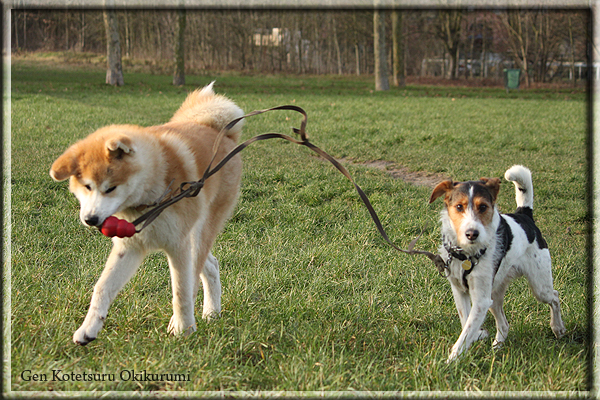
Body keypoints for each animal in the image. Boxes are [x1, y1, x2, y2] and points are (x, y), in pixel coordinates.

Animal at [51, 83, 244, 346]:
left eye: (110, 188)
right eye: (87, 187)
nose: (91, 220)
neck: (148, 198)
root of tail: (221, 132)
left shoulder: (177, 245)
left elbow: (181, 291)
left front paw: (183, 330)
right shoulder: (130, 247)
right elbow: (102, 288)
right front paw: (88, 328)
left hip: (200, 231)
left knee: (196, 275)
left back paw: (191, 319)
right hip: (192, 237)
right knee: (211, 265)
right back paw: (212, 313)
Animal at [428, 166, 564, 362]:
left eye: (483, 207)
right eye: (459, 206)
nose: (472, 233)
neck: (466, 254)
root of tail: (524, 215)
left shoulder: (481, 300)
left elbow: (465, 335)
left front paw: (450, 362)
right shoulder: (460, 291)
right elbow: (466, 322)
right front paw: (477, 336)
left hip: (539, 286)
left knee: (554, 297)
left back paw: (558, 327)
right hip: (494, 294)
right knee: (504, 324)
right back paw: (497, 346)